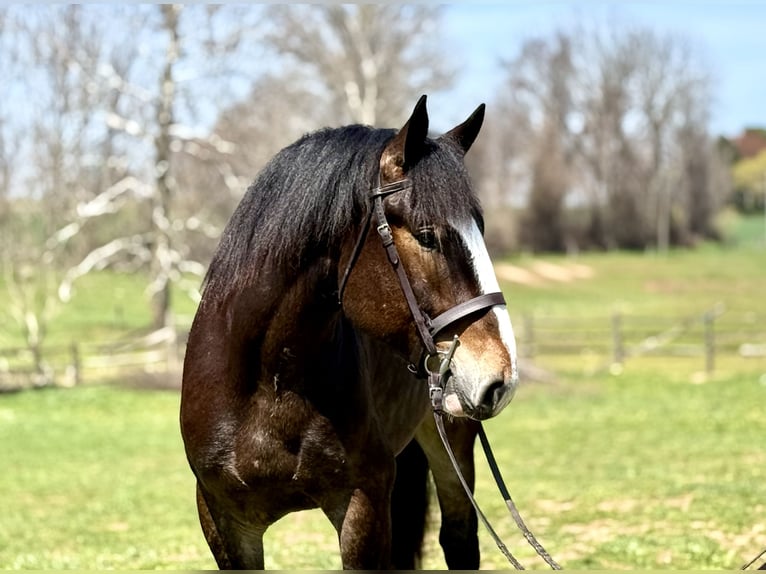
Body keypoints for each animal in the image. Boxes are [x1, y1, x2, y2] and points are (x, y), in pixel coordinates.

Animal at [180, 95, 520, 569]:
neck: (270, 382)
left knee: (459, 537)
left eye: (480, 231)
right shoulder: (223, 520)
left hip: (452, 439)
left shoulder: (363, 507)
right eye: (427, 235)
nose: (501, 378)